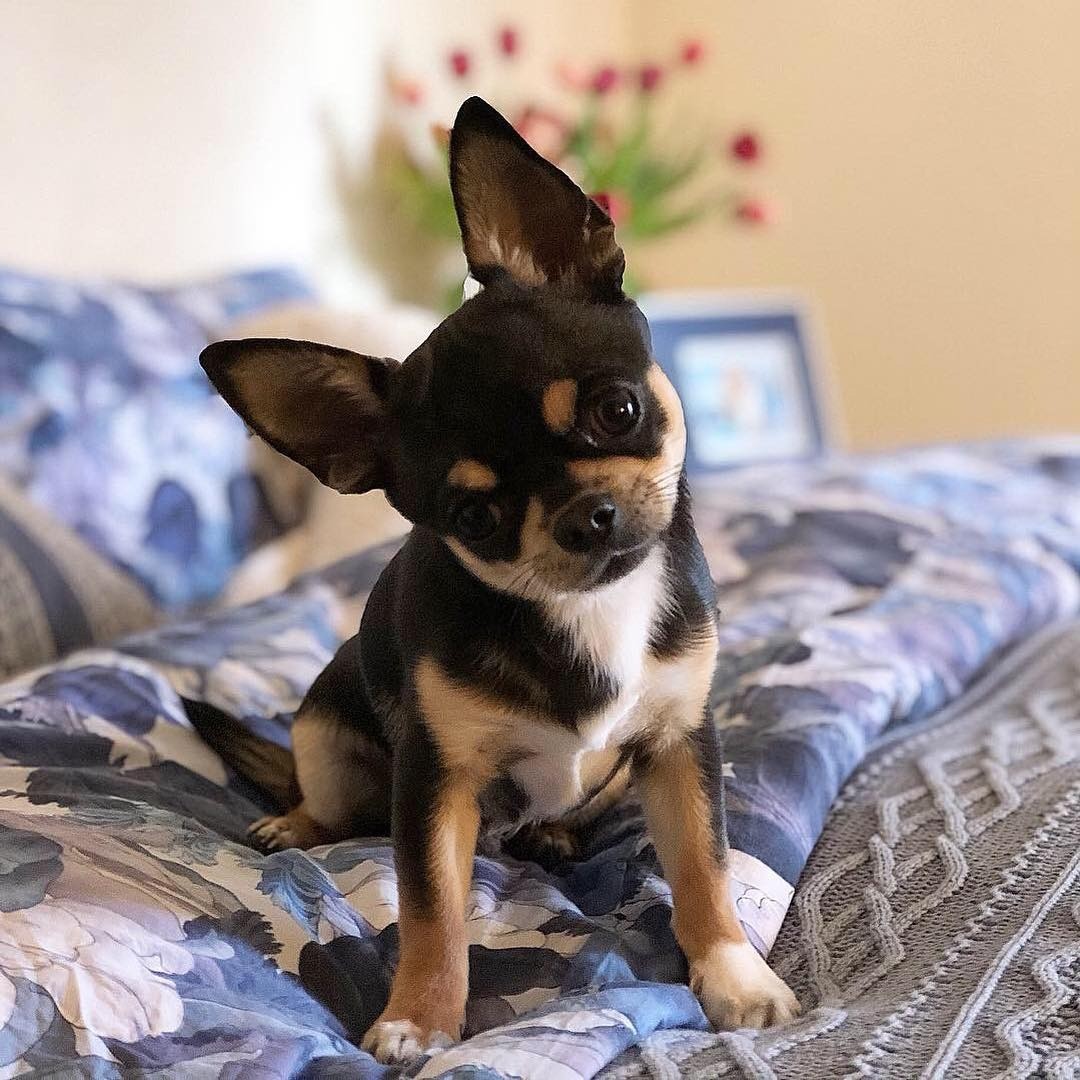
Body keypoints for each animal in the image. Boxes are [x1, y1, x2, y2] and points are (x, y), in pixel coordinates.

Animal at [197, 96, 798, 1065]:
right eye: (472, 518)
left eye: (617, 410)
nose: (583, 515)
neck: (586, 611)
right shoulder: (433, 786)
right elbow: (432, 908)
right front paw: (421, 1016)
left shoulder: (679, 747)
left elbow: (704, 868)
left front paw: (735, 975)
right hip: (321, 726)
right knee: (328, 805)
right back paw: (296, 822)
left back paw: (553, 828)